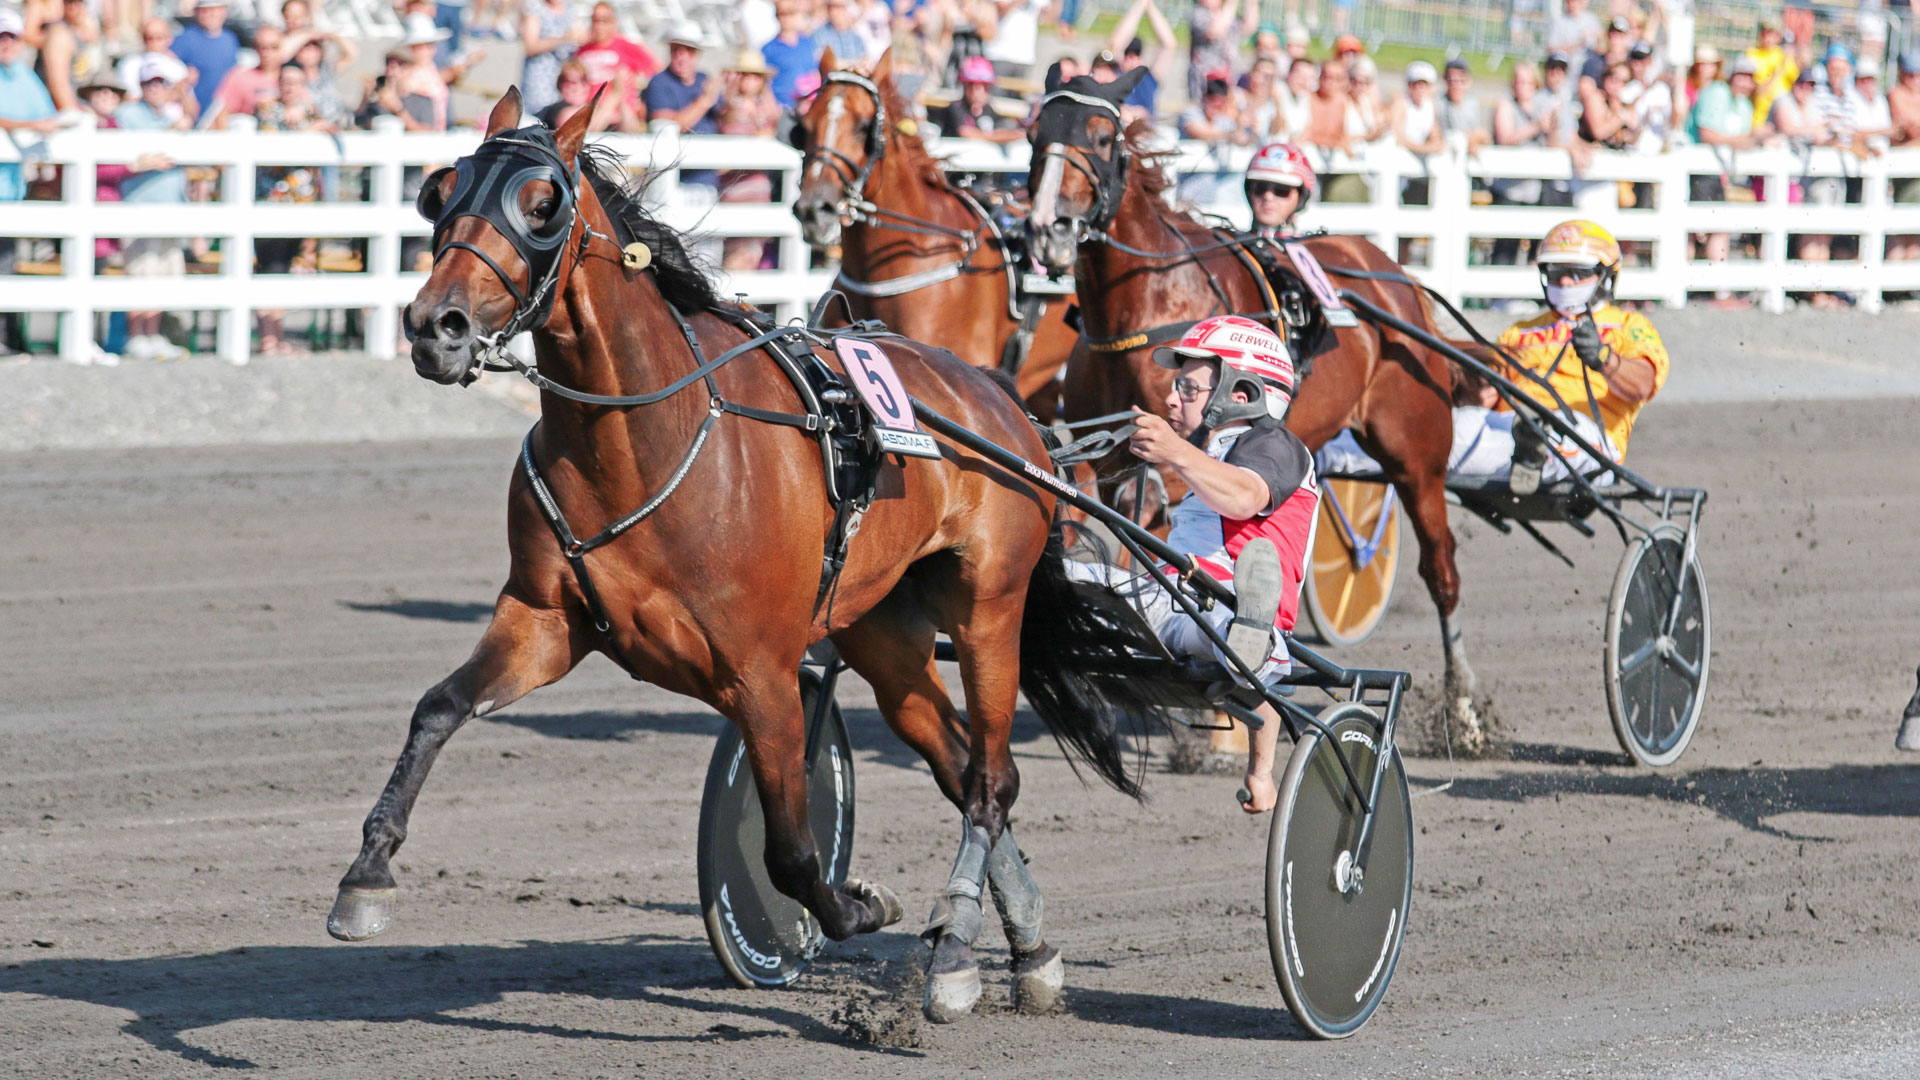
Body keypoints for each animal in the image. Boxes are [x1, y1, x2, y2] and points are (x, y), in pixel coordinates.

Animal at [334, 90, 1198, 1014]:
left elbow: (788, 848)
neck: (644, 437)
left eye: (542, 205)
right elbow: (438, 709)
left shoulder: (763, 673)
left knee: (991, 781)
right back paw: (1027, 949)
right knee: (958, 761)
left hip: (988, 611)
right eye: (440, 192)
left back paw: (961, 956)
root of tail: (1005, 409)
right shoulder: (542, 622)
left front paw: (857, 906)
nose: (437, 326)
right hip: (882, 633)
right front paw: (366, 874)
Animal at [1029, 71, 1489, 745]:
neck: (1147, 303)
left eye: (1102, 136)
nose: (1050, 227)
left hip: (1417, 457)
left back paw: (1463, 708)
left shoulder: (1174, 470)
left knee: (1443, 571)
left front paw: (1213, 718)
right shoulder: (1105, 461)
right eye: (1035, 132)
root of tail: (1391, 274)